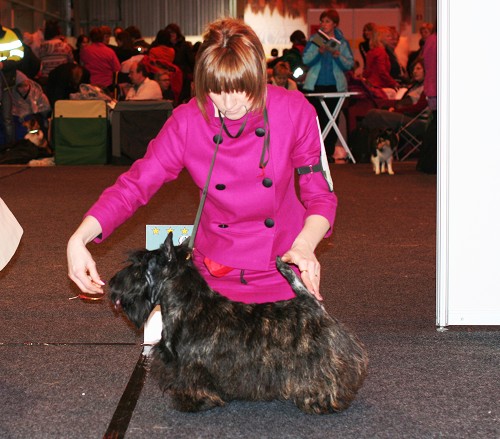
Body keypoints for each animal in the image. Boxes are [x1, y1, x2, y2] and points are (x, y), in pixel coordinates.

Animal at [109, 233, 368, 414]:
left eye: (140, 266)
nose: (112, 284)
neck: (187, 306)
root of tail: (311, 302)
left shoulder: (192, 365)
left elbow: (193, 383)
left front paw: (193, 402)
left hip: (319, 358)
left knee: (326, 377)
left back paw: (321, 401)